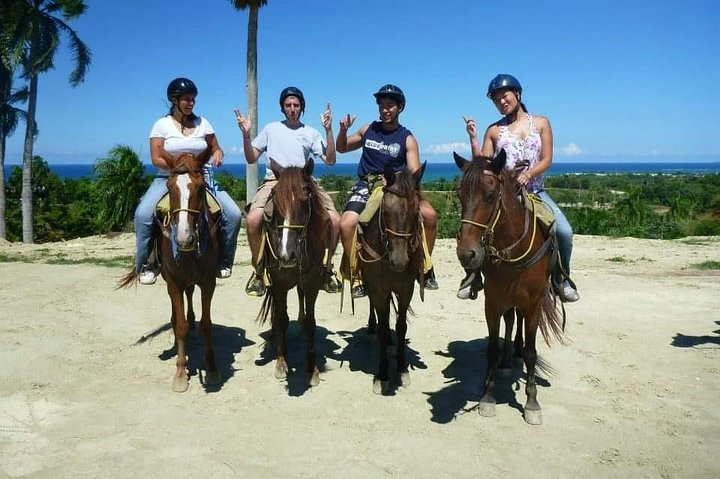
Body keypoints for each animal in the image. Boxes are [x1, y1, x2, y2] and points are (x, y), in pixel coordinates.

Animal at [119, 154, 221, 394]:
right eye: (169, 187)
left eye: (200, 187)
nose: (184, 239)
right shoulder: (174, 282)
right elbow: (180, 326)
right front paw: (181, 374)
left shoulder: (208, 282)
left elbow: (207, 324)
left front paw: (212, 369)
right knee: (177, 314)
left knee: (190, 295)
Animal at [256, 159, 330, 388]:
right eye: (275, 199)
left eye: (305, 200)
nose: (286, 254)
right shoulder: (279, 284)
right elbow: (282, 319)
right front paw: (281, 362)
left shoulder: (312, 282)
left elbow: (311, 321)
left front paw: (312, 369)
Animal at [358, 164, 424, 394]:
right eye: (385, 211)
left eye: (416, 212)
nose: (399, 261)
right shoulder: (379, 289)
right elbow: (383, 326)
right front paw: (382, 374)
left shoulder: (405, 289)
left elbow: (401, 326)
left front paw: (402, 369)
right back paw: (373, 329)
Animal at [456, 152, 564, 426]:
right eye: (460, 195)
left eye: (490, 195)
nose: (467, 254)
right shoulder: (492, 303)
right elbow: (492, 349)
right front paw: (488, 394)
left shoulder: (534, 305)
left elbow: (531, 352)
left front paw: (532, 402)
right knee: (511, 320)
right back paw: (507, 360)